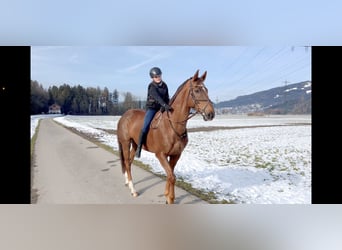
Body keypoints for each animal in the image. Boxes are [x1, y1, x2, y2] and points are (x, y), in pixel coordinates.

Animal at [116, 69, 215, 204]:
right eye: (197, 90)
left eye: (207, 90)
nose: (211, 114)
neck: (173, 124)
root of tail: (124, 116)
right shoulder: (160, 155)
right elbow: (172, 177)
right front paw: (170, 199)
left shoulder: (175, 155)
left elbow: (170, 174)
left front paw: (167, 195)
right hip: (126, 143)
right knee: (126, 161)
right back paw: (133, 189)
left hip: (135, 144)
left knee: (129, 162)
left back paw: (128, 182)